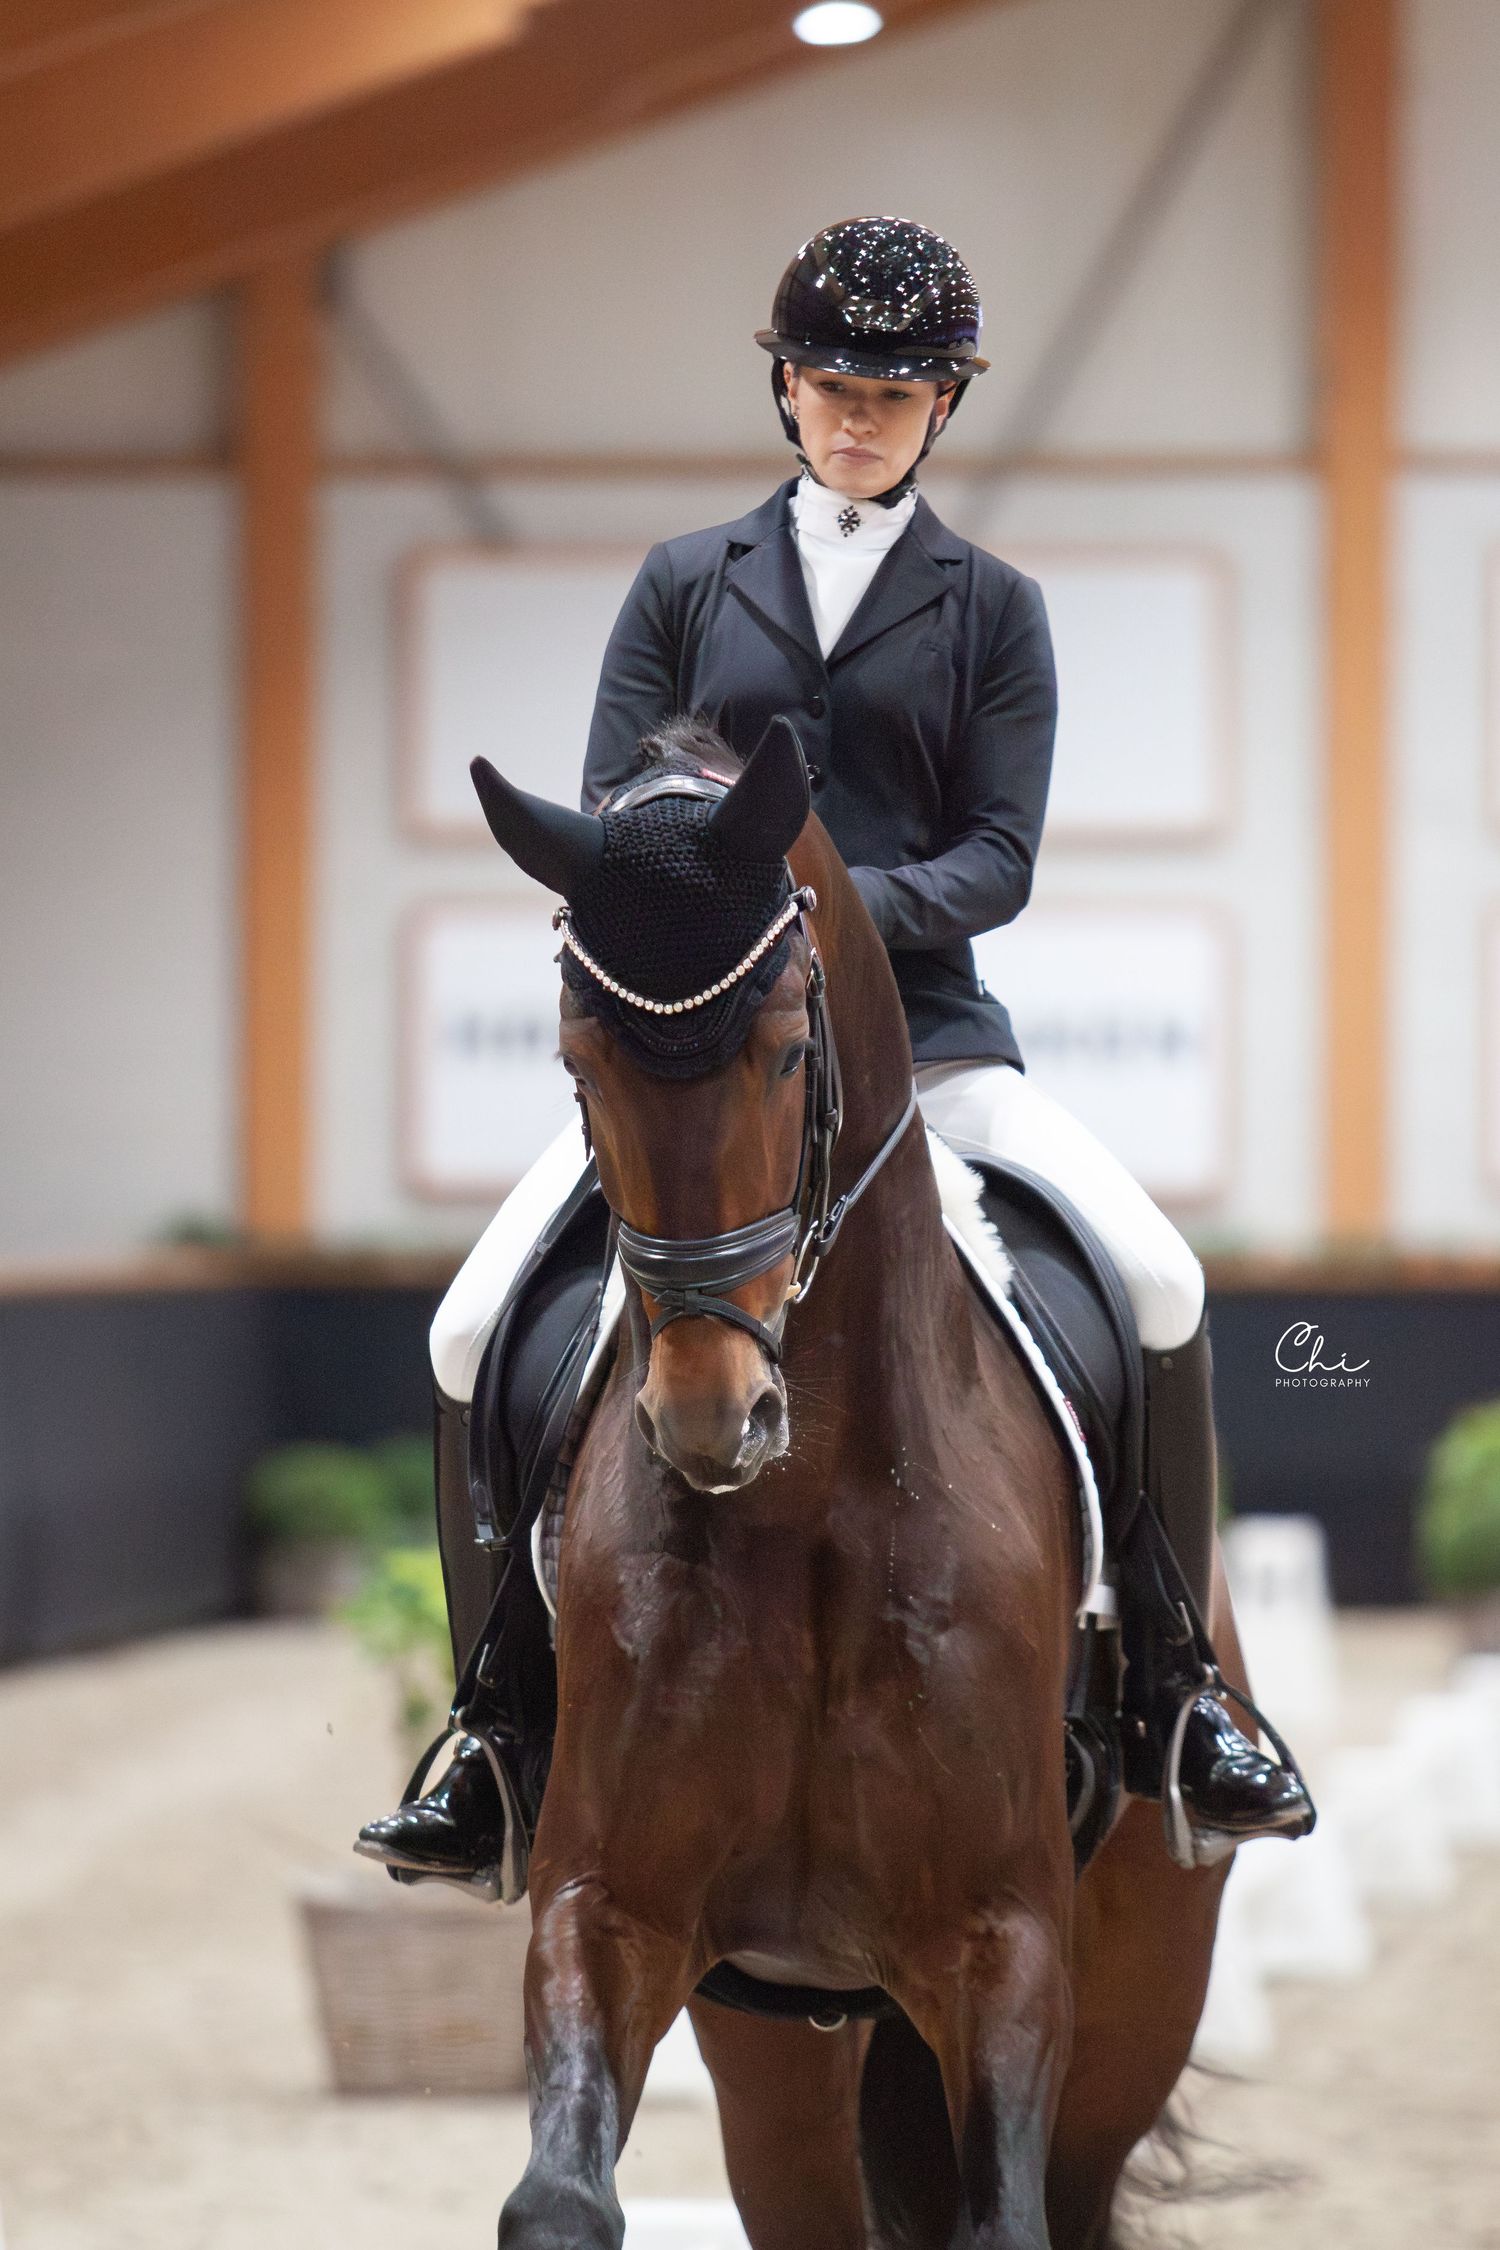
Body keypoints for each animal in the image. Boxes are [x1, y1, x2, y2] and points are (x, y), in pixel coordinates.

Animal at [471, 719, 1241, 2250]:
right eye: (580, 1065)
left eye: (785, 1053)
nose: (713, 1420)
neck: (812, 1505)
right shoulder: (611, 1910)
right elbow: (557, 2200)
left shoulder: (1005, 1947)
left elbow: (1004, 2220)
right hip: (781, 2061)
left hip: (1135, 1999)